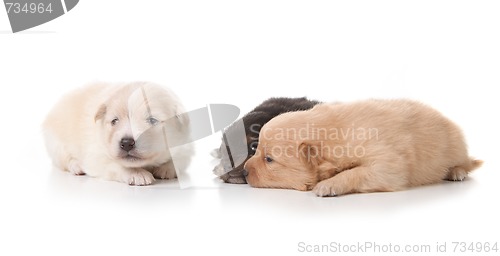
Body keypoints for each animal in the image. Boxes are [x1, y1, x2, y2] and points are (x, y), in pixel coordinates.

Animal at [43, 82, 192, 186]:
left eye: (152, 120)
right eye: (114, 121)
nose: (126, 143)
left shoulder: (186, 146)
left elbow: (179, 159)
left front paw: (166, 169)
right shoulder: (96, 155)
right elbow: (117, 165)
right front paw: (137, 173)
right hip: (56, 144)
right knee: (64, 160)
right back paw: (77, 166)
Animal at [244, 99, 482, 196]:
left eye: (269, 160)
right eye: (256, 150)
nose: (245, 171)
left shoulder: (389, 164)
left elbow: (357, 172)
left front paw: (328, 185)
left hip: (456, 145)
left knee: (466, 164)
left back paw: (456, 172)